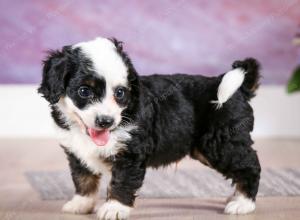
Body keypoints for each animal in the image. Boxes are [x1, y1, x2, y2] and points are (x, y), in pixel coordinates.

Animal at [38, 37, 260, 219]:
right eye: (84, 91)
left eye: (120, 93)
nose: (106, 121)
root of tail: (239, 90)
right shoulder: (77, 153)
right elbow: (83, 179)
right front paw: (81, 204)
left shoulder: (130, 153)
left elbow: (122, 181)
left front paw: (114, 208)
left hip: (220, 144)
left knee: (249, 166)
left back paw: (243, 203)